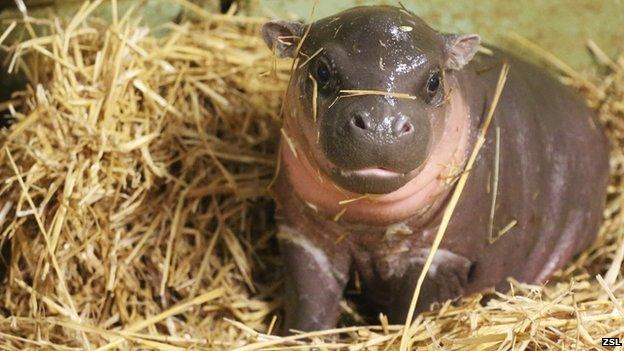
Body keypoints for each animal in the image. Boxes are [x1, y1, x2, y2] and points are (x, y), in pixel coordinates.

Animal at [264, 5, 608, 332]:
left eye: (434, 81)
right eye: (321, 70)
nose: (380, 125)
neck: (368, 223)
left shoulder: (442, 254)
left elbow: (415, 304)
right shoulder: (303, 236)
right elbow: (310, 299)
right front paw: (301, 337)